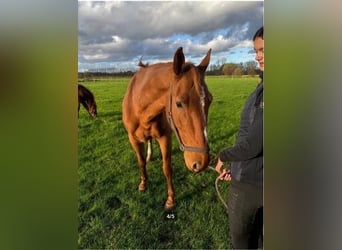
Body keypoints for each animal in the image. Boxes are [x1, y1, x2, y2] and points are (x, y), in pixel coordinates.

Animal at [121, 47, 212, 209]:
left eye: (210, 100)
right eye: (179, 103)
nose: (202, 162)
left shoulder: (165, 137)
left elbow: (167, 168)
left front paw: (170, 199)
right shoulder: (133, 139)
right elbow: (141, 161)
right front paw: (143, 184)